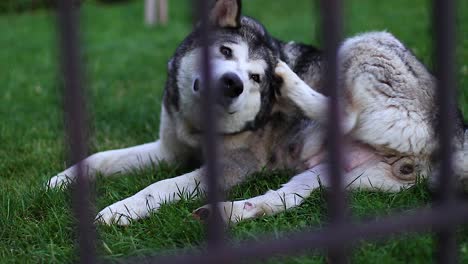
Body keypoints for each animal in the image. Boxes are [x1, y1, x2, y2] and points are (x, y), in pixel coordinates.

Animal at [48, 0, 468, 225]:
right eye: (225, 51)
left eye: (255, 78)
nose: (232, 83)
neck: (196, 127)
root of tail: (458, 134)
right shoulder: (169, 149)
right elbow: (103, 157)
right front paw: (62, 179)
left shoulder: (231, 167)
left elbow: (159, 186)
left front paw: (121, 209)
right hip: (334, 176)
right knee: (284, 200)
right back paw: (227, 213)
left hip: (361, 43)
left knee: (345, 113)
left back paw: (292, 85)